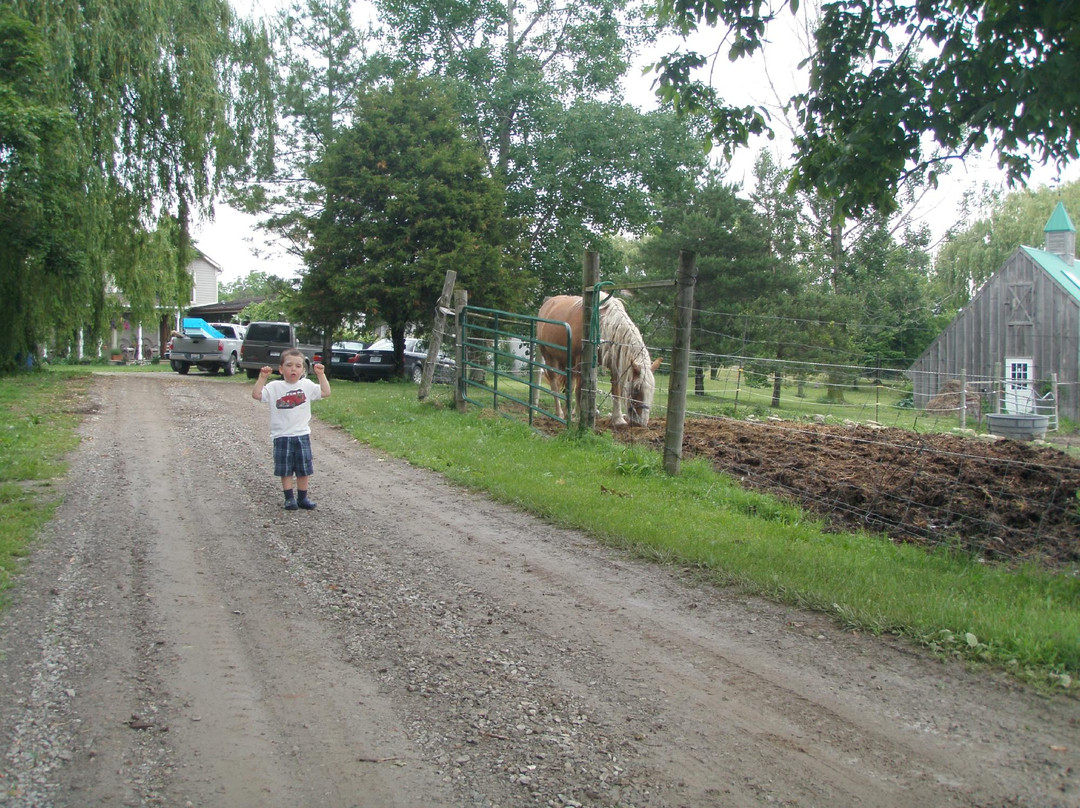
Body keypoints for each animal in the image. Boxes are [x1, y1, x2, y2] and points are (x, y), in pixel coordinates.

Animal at [537, 293, 660, 425]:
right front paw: (580, 418)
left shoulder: (614, 365)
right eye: (637, 389)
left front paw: (618, 419)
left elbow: (615, 392)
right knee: (555, 384)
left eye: (652, 390)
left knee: (569, 385)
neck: (603, 325)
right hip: (549, 357)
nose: (641, 422)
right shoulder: (580, 362)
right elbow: (580, 390)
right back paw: (560, 413)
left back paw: (568, 412)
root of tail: (548, 303)